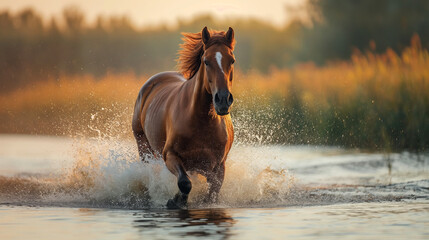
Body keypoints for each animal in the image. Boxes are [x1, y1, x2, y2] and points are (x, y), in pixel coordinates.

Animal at [132, 26, 236, 208]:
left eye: (232, 60)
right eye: (206, 61)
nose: (223, 100)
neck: (201, 121)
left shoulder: (218, 166)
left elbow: (212, 194)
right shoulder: (170, 155)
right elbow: (185, 183)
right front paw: (174, 201)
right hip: (143, 146)